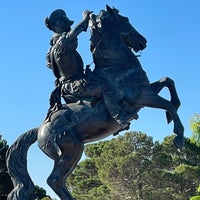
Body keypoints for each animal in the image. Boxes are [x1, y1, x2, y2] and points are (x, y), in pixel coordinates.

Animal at [6, 5, 184, 200]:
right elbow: (168, 104)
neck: (116, 65)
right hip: (70, 153)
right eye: (125, 20)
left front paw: (173, 111)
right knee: (54, 180)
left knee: (58, 181)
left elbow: (168, 82)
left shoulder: (145, 93)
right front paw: (179, 138)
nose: (142, 41)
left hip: (72, 154)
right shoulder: (142, 96)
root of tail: (39, 130)